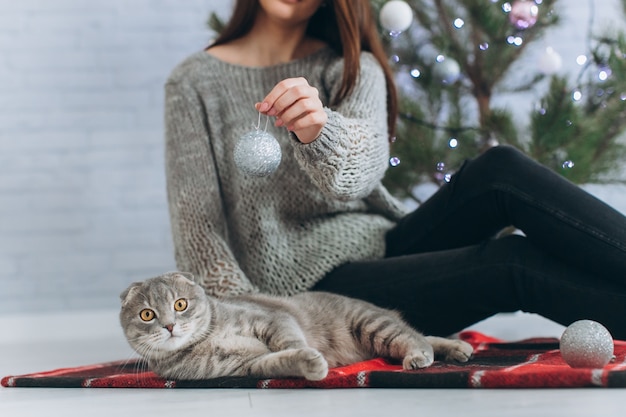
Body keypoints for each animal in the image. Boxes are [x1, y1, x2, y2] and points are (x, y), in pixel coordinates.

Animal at [118, 272, 472, 378]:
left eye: (180, 305)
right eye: (147, 315)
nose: (169, 326)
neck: (207, 341)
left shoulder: (271, 320)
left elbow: (289, 341)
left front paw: (308, 352)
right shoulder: (245, 366)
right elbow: (278, 360)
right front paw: (310, 365)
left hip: (371, 324)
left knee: (415, 338)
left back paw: (420, 357)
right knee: (423, 335)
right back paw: (459, 348)